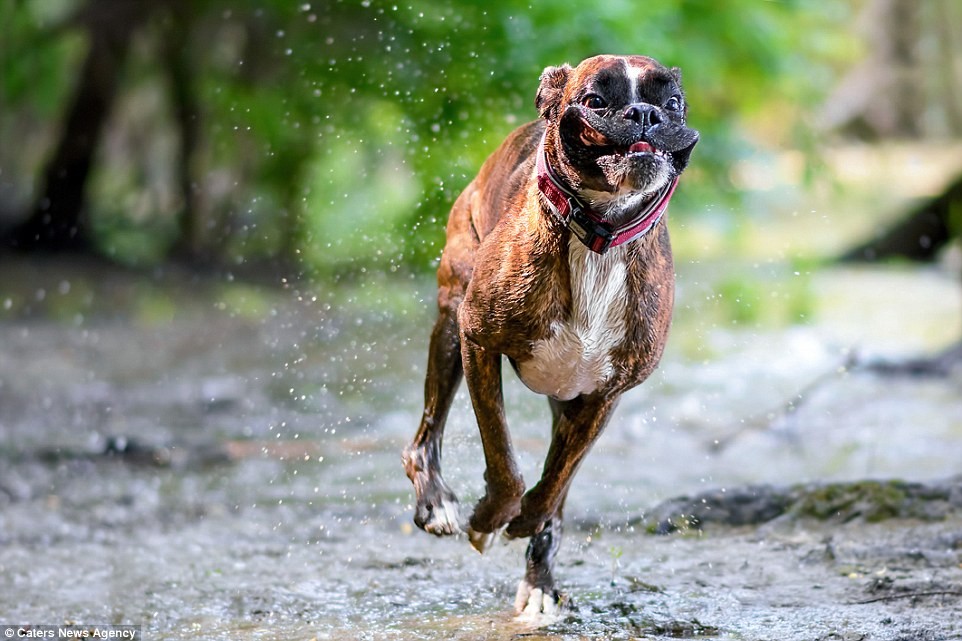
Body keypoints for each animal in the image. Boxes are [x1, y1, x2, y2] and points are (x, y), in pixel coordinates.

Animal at [400, 55, 696, 616]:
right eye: (596, 101)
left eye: (671, 102)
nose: (645, 113)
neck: (600, 234)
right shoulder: (478, 342)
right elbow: (506, 462)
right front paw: (488, 520)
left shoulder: (603, 395)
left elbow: (554, 483)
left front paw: (528, 526)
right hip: (449, 322)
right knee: (425, 434)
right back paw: (437, 504)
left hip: (568, 402)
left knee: (555, 488)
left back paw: (539, 579)